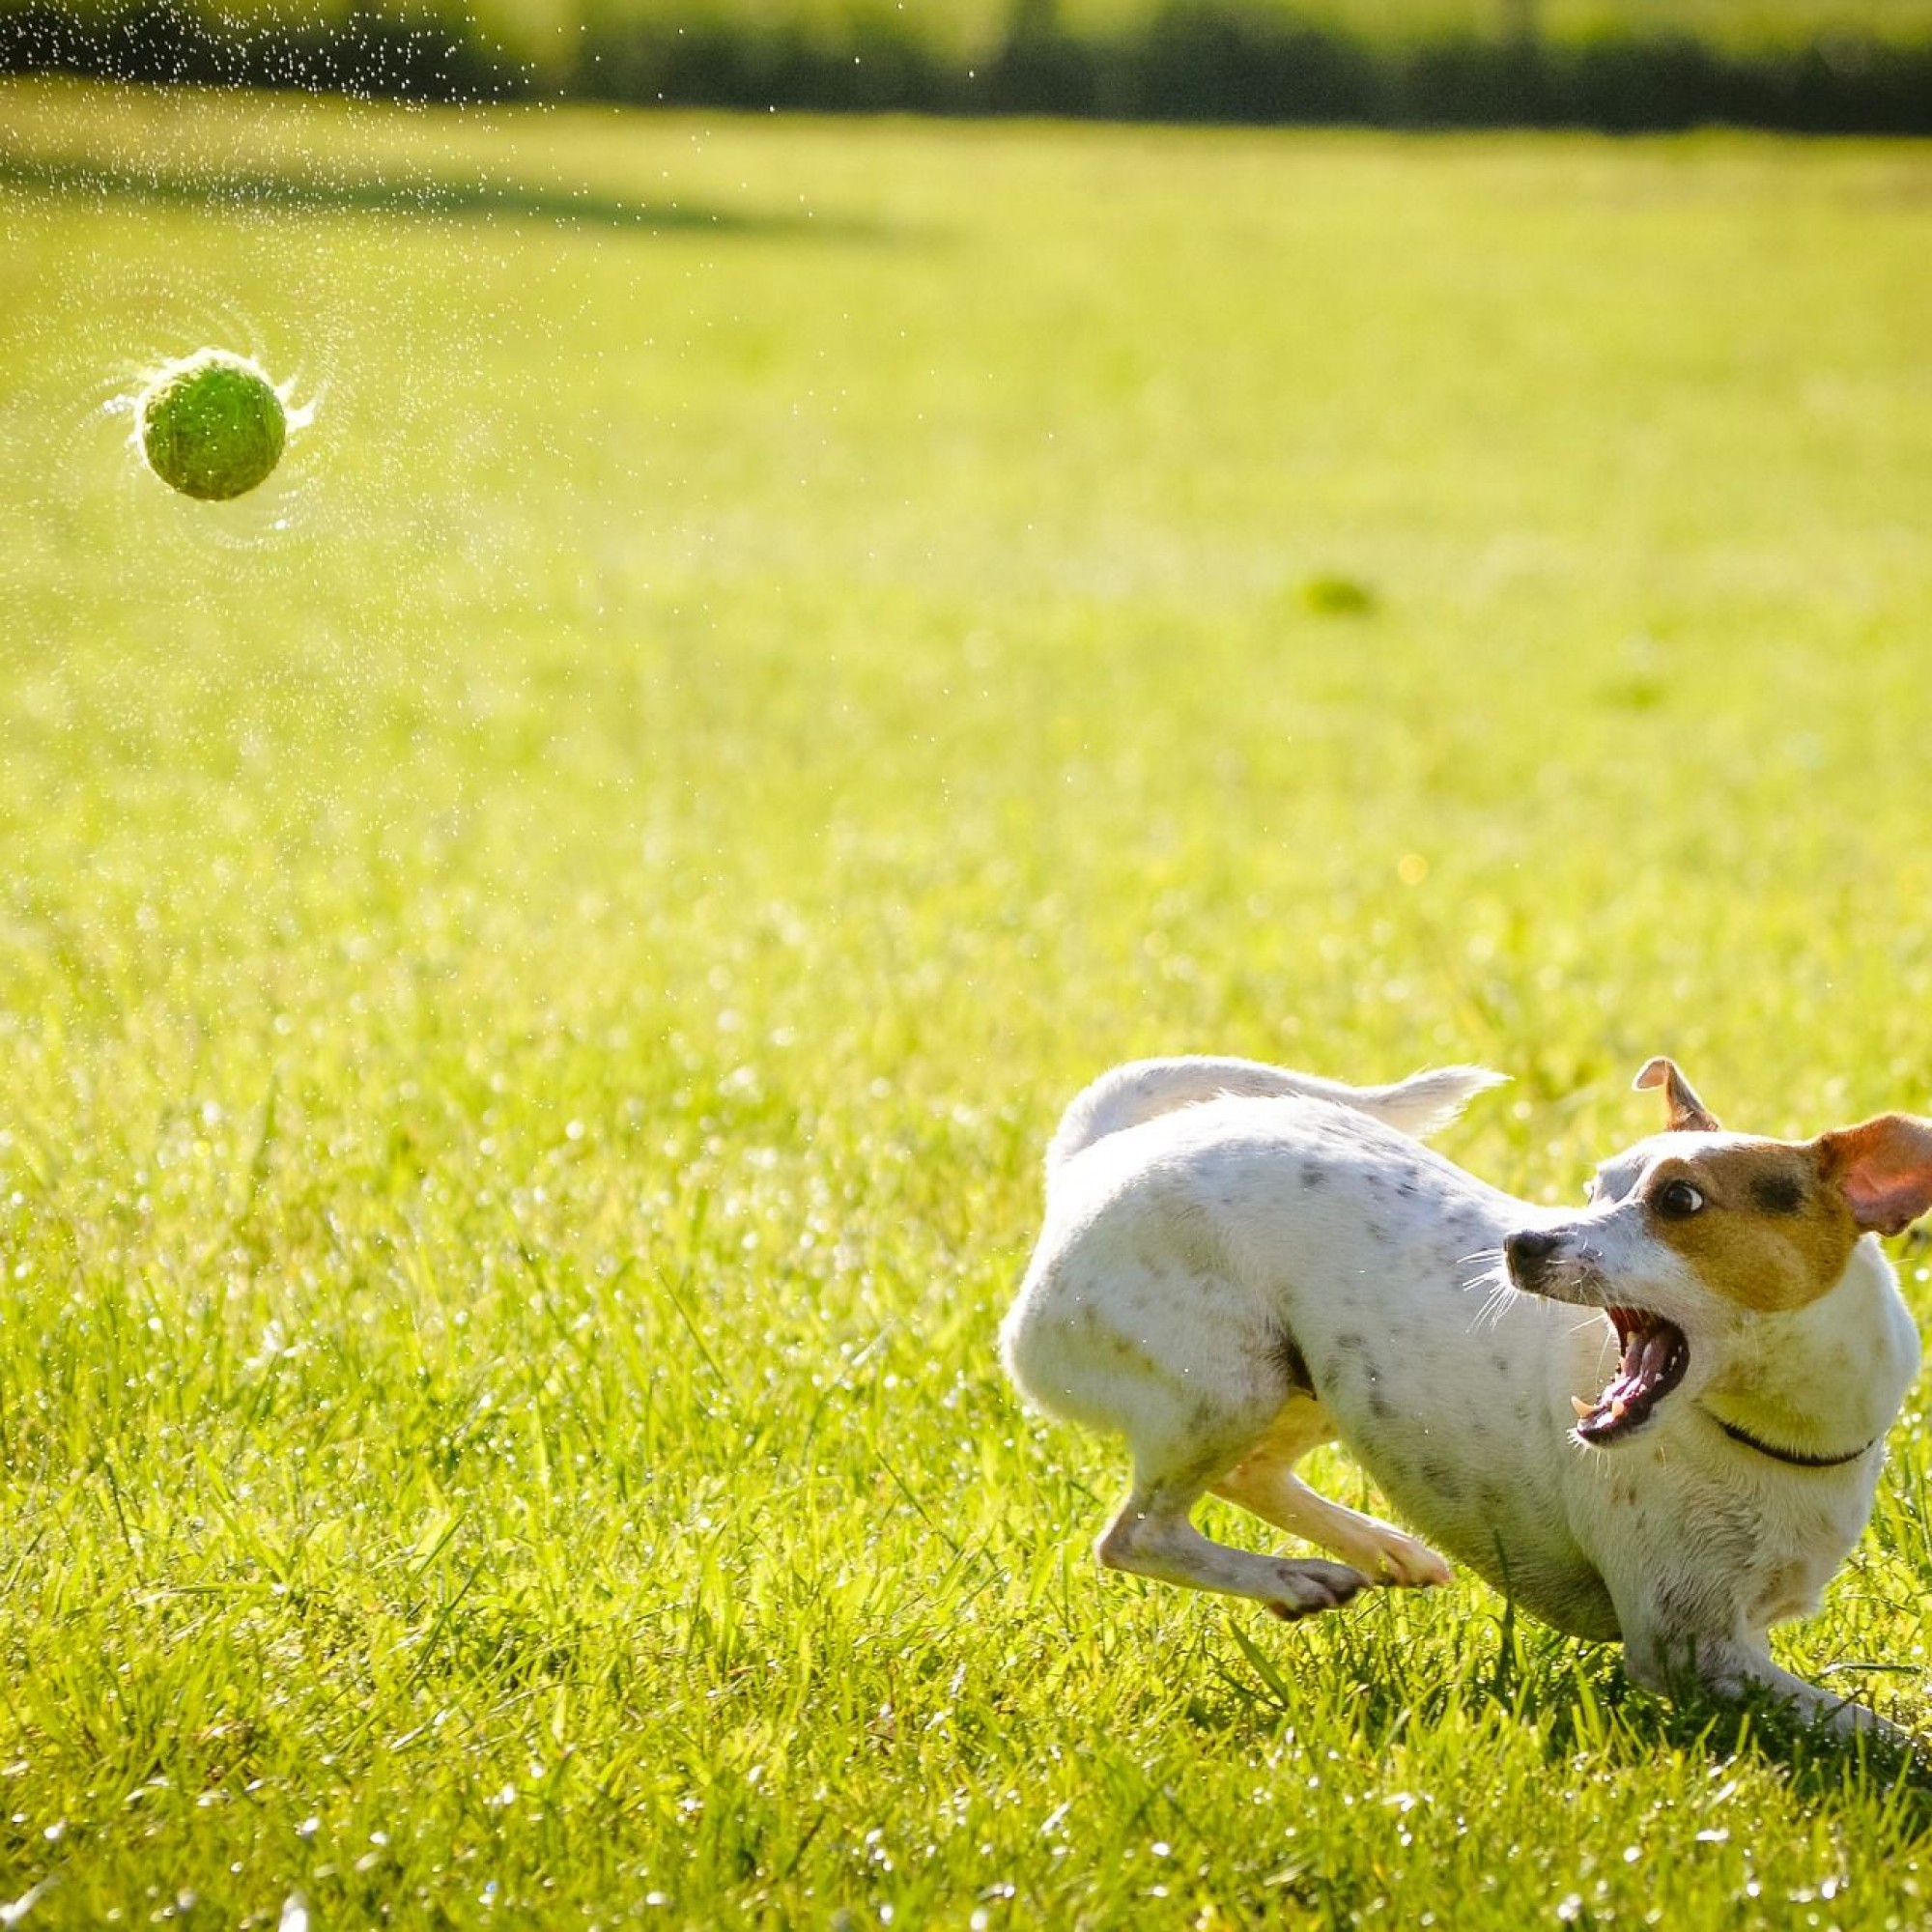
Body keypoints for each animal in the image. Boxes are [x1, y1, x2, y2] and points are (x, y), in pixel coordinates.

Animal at [997, 1059, 1932, 1739]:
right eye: (1596, 1188)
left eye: (1680, 1199)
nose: (1523, 1243)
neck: (1770, 1432)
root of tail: (1094, 1158)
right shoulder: (1689, 1648)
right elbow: (1876, 1733)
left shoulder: (1737, 1634)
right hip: (1229, 1382)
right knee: (1137, 1535)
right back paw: (1295, 1576)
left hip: (1316, 1381)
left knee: (1245, 1474)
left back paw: (1376, 1550)